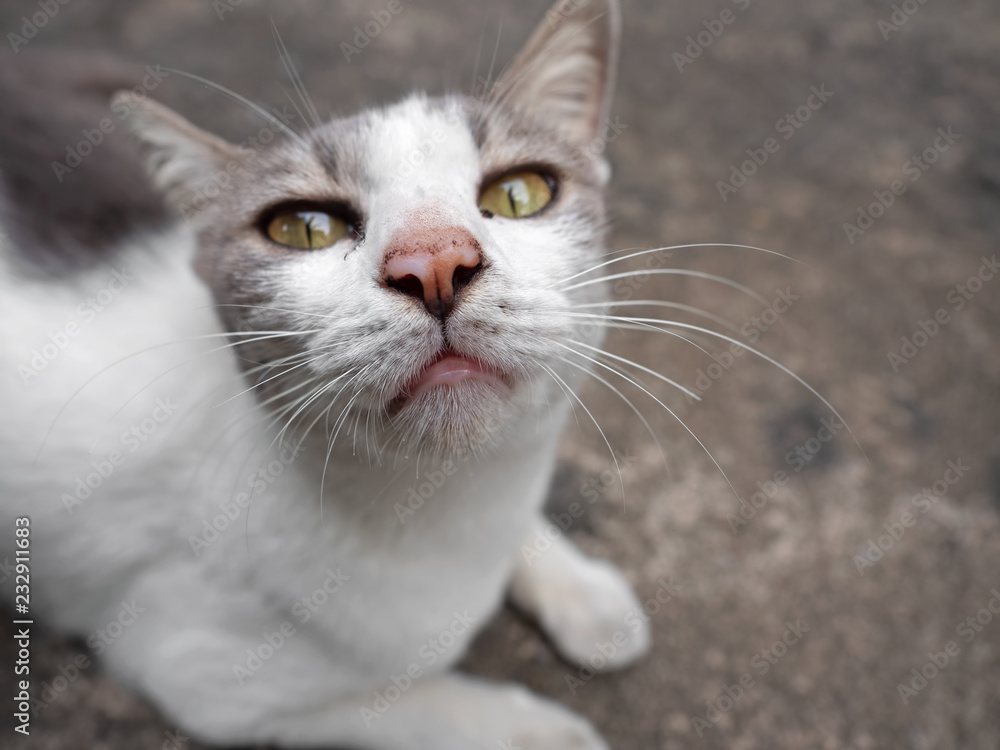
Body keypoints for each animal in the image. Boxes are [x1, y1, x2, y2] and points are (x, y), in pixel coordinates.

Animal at [0, 0, 648, 748]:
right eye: (304, 228)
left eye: (520, 194)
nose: (433, 260)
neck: (446, 507)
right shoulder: (207, 676)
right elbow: (418, 705)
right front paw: (540, 731)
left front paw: (583, 592)